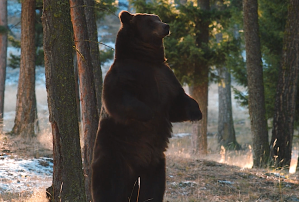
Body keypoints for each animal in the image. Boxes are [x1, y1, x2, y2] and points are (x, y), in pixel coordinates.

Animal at [92, 11, 202, 202]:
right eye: (150, 22)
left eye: (158, 18)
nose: (166, 26)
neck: (145, 58)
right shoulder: (125, 75)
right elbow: (117, 98)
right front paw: (148, 113)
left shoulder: (166, 77)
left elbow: (177, 103)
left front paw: (196, 112)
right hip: (113, 156)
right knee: (108, 187)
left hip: (155, 164)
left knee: (153, 189)